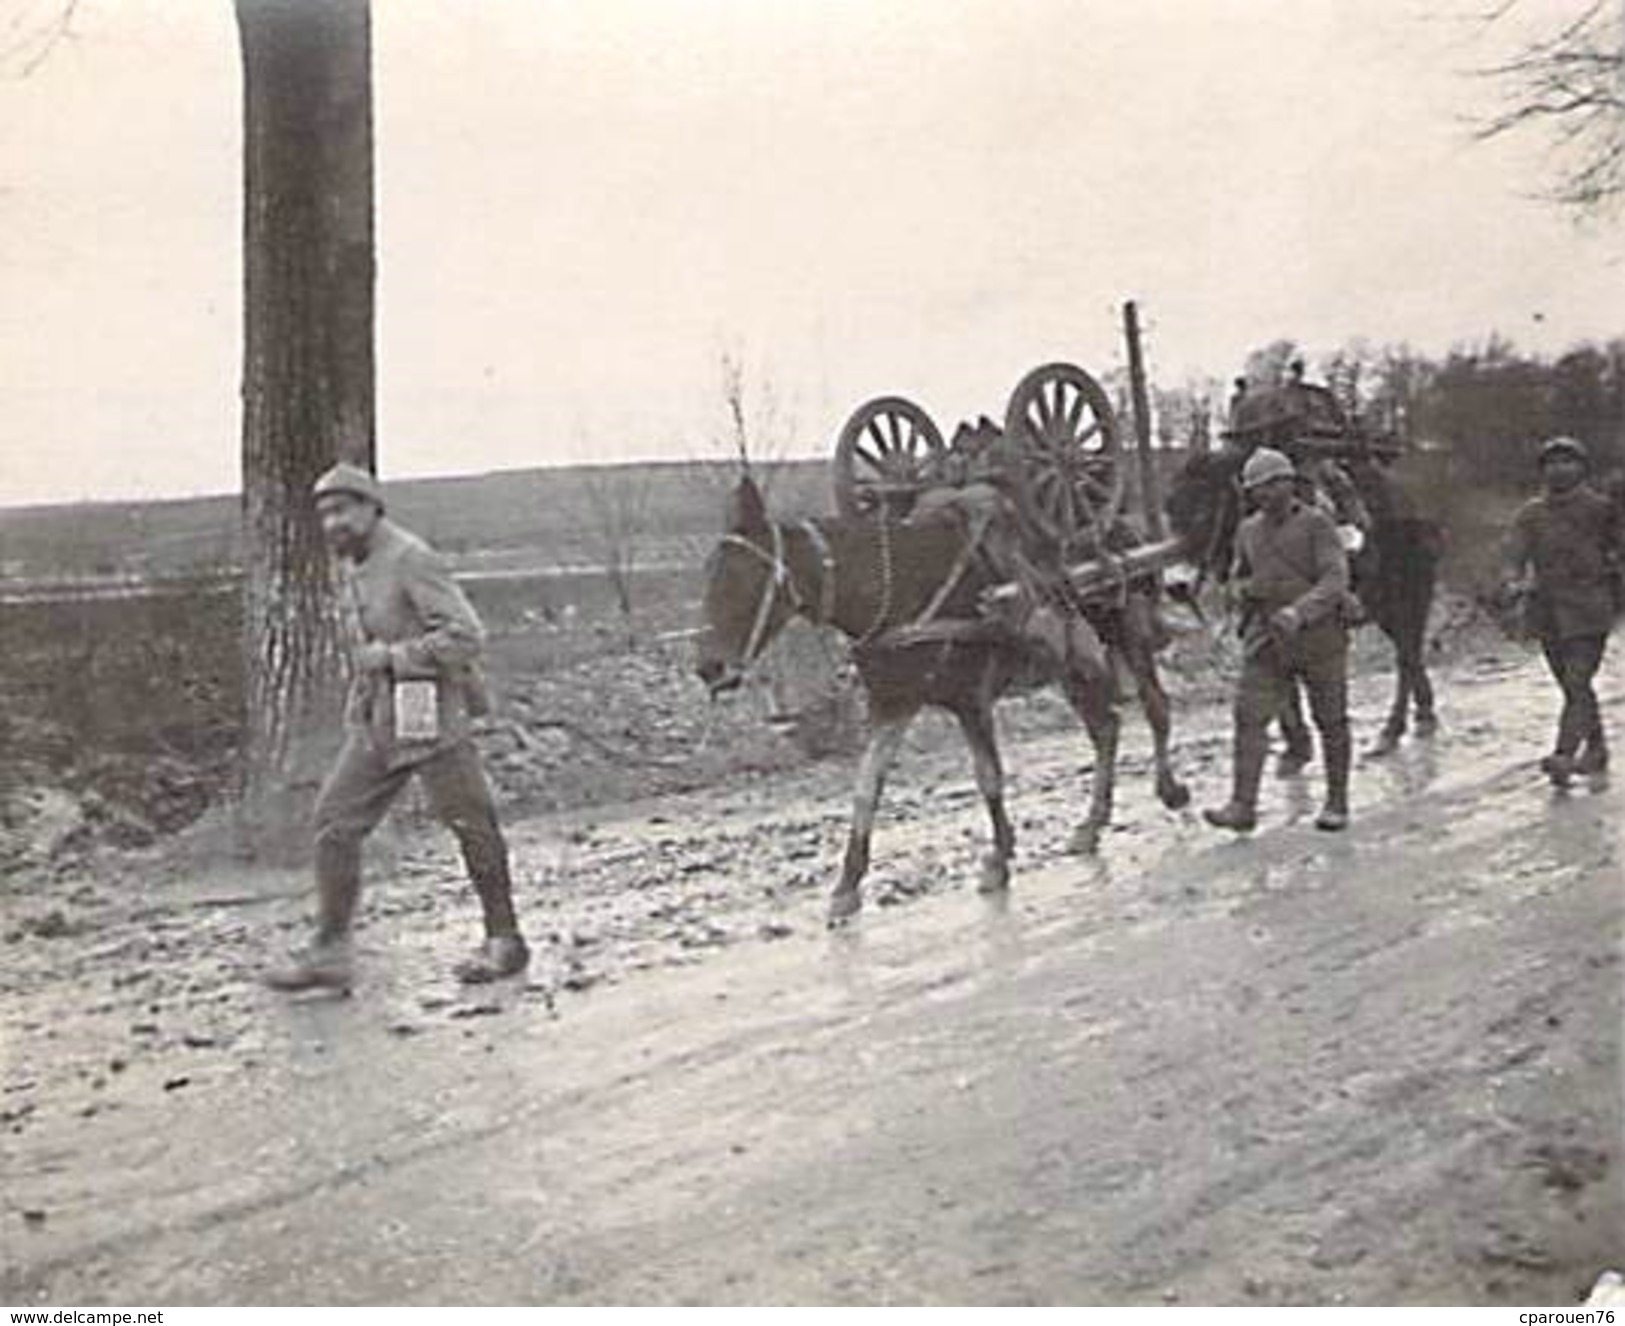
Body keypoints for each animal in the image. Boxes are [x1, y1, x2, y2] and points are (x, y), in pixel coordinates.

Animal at [692, 474, 1189, 923]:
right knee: (1105, 726)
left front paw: (998, 858)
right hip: (1070, 662)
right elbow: (866, 790)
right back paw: (1092, 822)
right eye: (710, 574)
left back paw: (1169, 790)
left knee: (1154, 707)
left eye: (747, 577)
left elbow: (989, 777)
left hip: (1125, 630)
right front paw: (847, 886)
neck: (898, 592)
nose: (709, 668)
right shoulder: (892, 706)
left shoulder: (970, 701)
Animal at [1163, 448, 1443, 750]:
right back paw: (1423, 713)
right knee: (1410, 653)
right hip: (1384, 608)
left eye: (1202, 512)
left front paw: (1297, 740)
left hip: (1411, 596)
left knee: (1407, 656)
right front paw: (1296, 741)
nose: (1175, 585)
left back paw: (1393, 729)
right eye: (1170, 512)